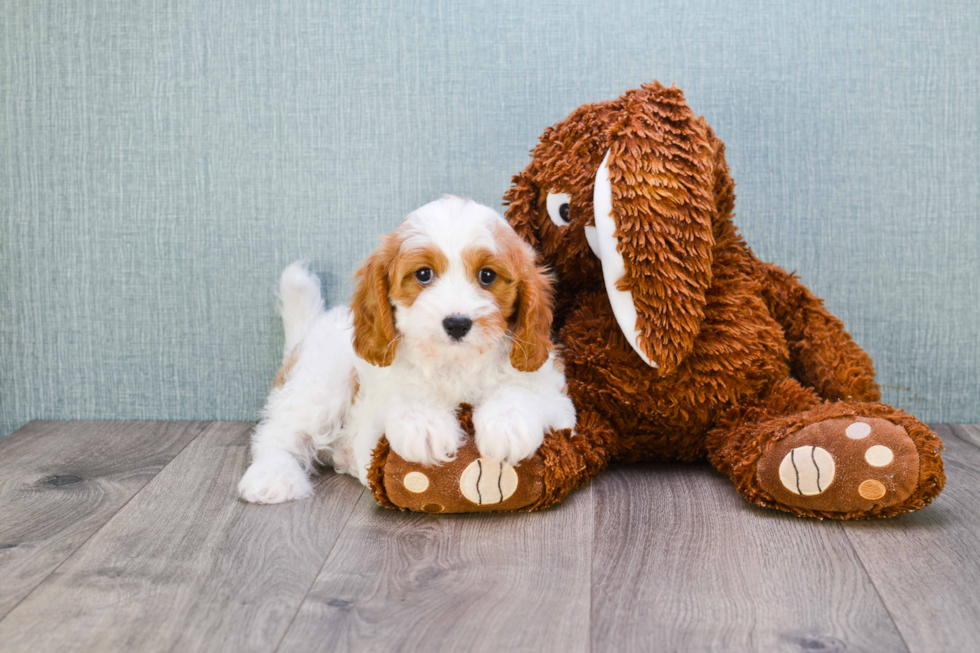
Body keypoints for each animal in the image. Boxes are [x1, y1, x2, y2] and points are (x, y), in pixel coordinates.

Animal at [239, 196, 576, 502]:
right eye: (423, 274)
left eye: (487, 276)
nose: (457, 323)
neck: (456, 364)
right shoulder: (371, 415)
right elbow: (403, 396)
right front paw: (423, 422)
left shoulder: (557, 400)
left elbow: (521, 390)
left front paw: (507, 422)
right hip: (319, 384)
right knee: (279, 433)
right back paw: (273, 476)